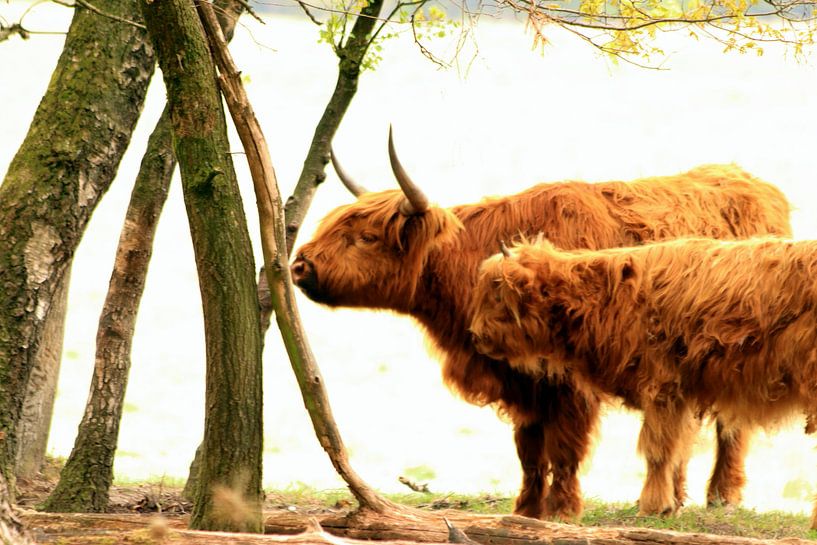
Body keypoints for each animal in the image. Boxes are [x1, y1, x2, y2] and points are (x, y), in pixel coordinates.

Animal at [468, 235, 817, 524]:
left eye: (495, 294)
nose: (474, 334)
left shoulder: (662, 387)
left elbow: (657, 450)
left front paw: (652, 505)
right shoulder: (682, 395)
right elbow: (677, 450)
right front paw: (671, 504)